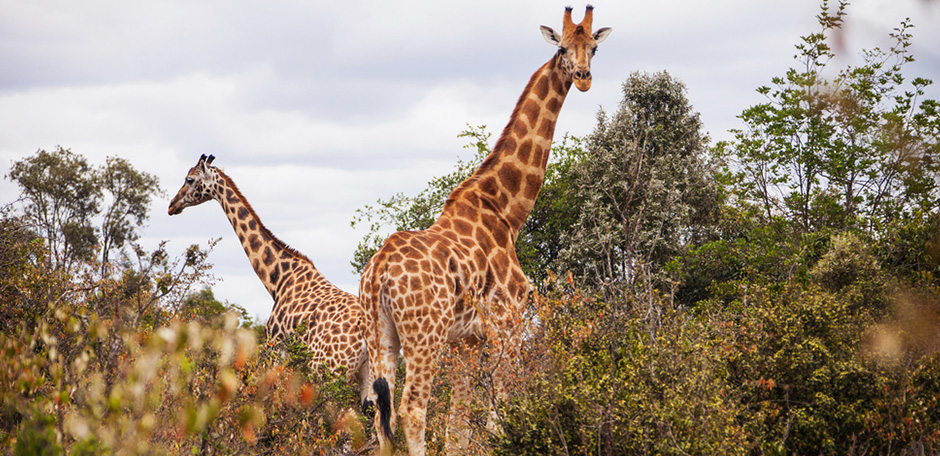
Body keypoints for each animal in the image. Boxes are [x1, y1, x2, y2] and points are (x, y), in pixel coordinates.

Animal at [358, 6, 608, 452]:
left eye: (593, 48)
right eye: (562, 48)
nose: (583, 77)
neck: (507, 210)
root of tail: (379, 272)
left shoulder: (467, 340)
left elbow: (458, 427)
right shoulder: (508, 325)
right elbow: (497, 421)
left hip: (380, 335)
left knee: (381, 420)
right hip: (424, 335)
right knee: (412, 410)